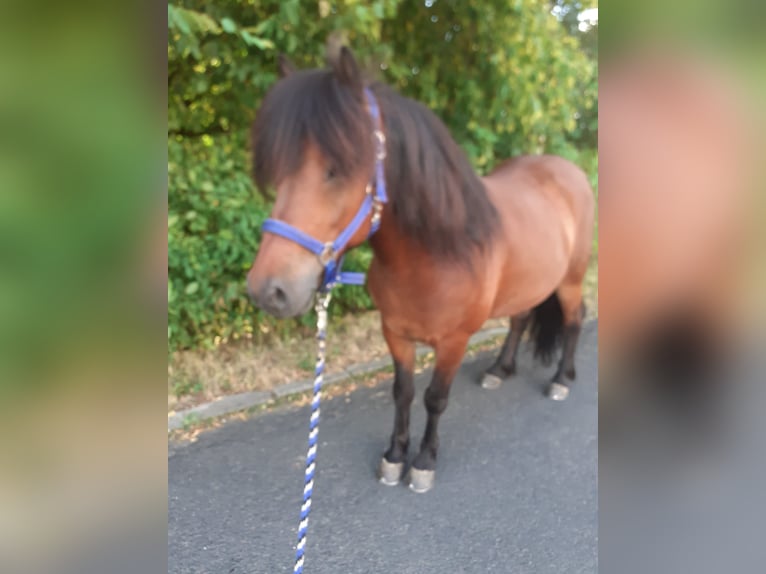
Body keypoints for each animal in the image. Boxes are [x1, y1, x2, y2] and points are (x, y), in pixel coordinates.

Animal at [247, 46, 595, 493]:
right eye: (278, 171)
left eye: (336, 168)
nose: (268, 290)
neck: (434, 258)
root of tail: (569, 172)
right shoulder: (395, 334)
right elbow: (403, 392)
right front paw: (395, 456)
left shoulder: (454, 342)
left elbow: (435, 398)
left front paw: (425, 461)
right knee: (519, 319)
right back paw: (500, 370)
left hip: (570, 280)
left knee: (574, 318)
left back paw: (561, 380)